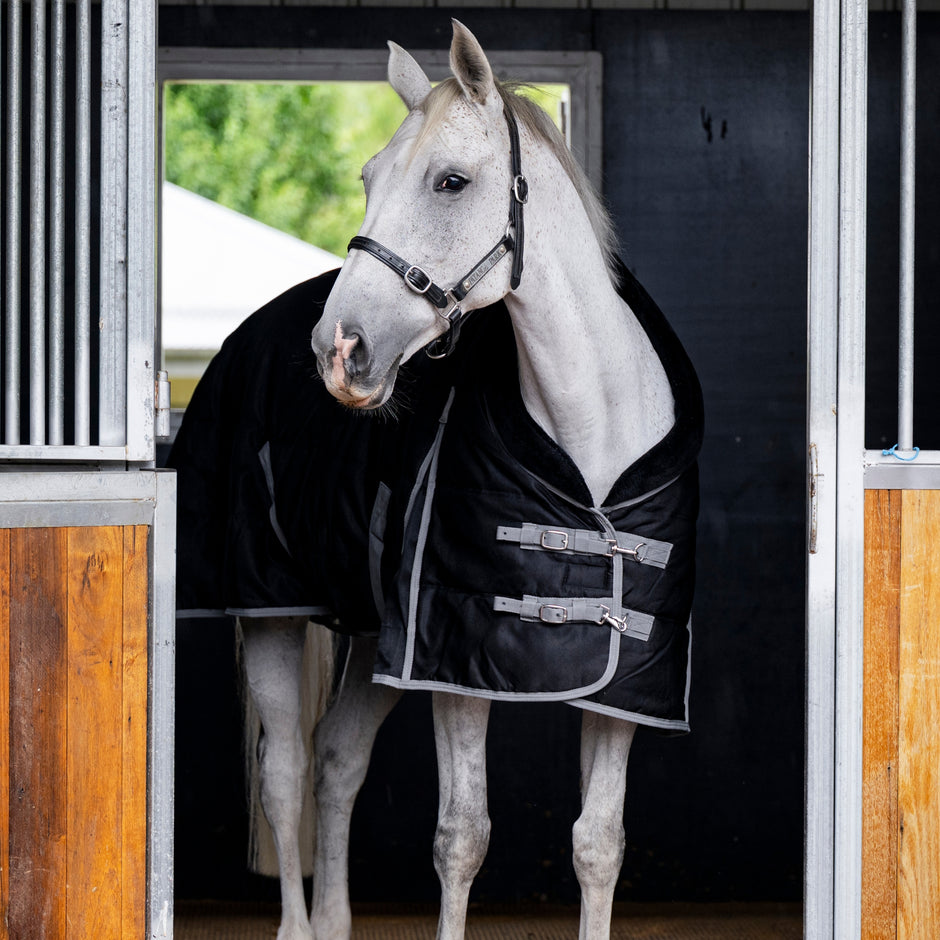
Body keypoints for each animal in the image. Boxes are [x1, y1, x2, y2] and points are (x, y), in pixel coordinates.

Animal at [170, 20, 701, 940]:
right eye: (367, 178)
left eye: (451, 181)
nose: (339, 348)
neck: (589, 451)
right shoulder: (452, 667)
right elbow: (462, 838)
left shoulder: (625, 684)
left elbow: (599, 842)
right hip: (271, 616)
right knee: (285, 771)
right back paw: (299, 925)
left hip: (370, 635)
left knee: (337, 761)